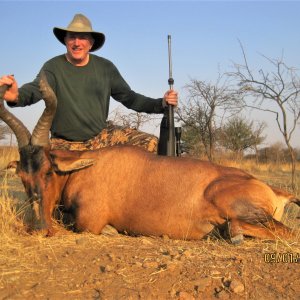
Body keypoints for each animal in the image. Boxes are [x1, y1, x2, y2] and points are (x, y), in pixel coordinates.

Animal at [0, 73, 298, 244]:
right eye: (22, 176)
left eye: (49, 171)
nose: (39, 228)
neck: (88, 167)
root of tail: (275, 191)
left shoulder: (90, 221)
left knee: (285, 231)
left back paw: (230, 233)